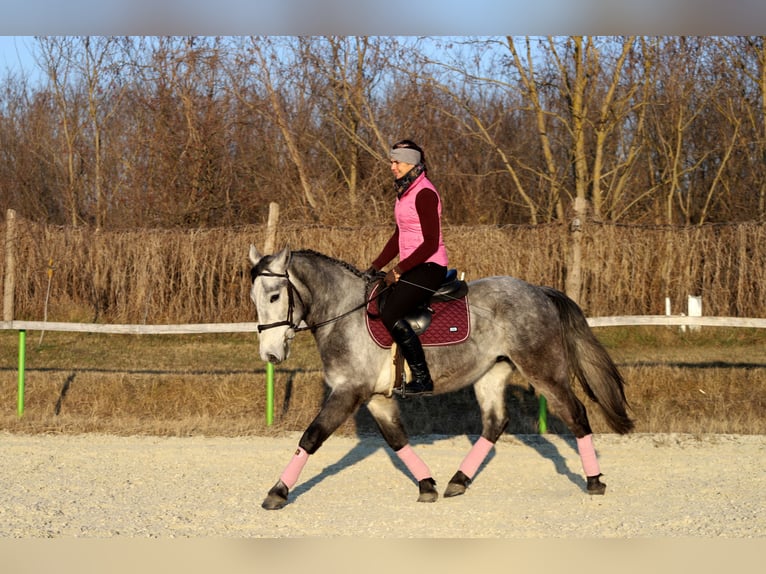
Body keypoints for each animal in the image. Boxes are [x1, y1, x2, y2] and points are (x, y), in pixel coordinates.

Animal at [249, 245, 632, 510]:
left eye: (275, 295)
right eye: (254, 298)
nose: (270, 354)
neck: (344, 314)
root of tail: (538, 290)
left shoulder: (349, 391)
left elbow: (312, 436)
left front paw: (277, 492)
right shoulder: (376, 398)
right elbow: (397, 440)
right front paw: (427, 486)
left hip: (544, 371)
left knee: (576, 414)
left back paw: (594, 481)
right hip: (491, 373)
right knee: (495, 422)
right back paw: (458, 481)